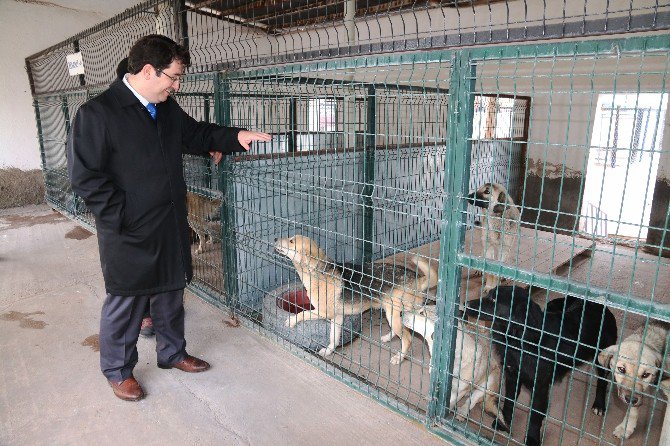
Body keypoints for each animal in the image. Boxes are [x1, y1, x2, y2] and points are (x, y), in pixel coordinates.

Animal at [274, 235, 438, 364]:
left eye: (291, 241)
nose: (275, 239)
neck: (318, 271)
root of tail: (418, 278)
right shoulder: (337, 317)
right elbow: (333, 338)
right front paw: (328, 351)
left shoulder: (323, 312)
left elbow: (302, 314)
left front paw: (291, 321)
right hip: (395, 313)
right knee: (403, 329)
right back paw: (387, 337)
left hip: (393, 313)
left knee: (407, 338)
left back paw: (399, 357)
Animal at [468, 286, 620, 446]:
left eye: (494, 299)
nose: (466, 304)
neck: (521, 340)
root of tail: (600, 305)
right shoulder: (512, 376)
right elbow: (509, 402)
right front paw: (503, 422)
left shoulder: (540, 387)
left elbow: (535, 415)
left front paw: (532, 438)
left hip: (601, 359)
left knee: (602, 382)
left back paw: (599, 405)